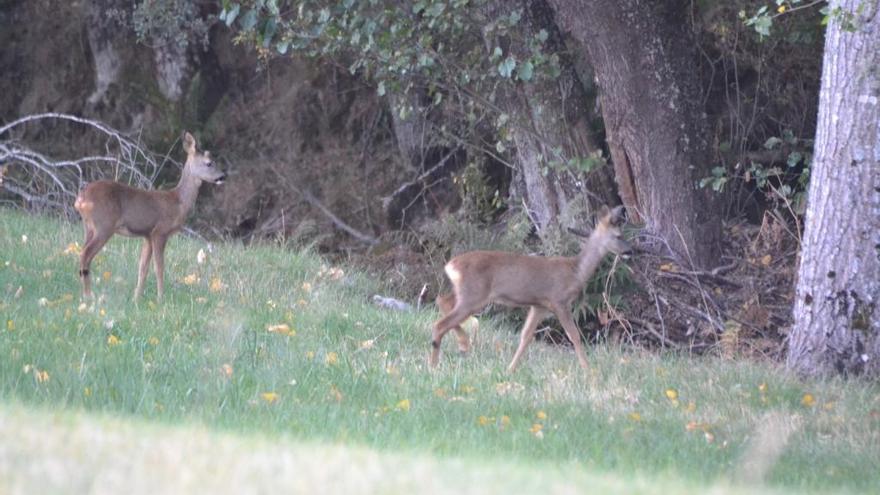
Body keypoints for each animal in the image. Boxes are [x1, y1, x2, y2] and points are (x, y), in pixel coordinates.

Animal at [75, 132, 227, 300]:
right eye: (209, 163)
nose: (223, 176)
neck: (178, 202)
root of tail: (81, 199)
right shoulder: (160, 232)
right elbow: (159, 267)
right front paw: (161, 297)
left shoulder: (147, 235)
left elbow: (143, 268)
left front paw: (136, 297)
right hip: (103, 225)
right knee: (86, 255)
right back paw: (88, 296)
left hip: (89, 227)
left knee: (82, 252)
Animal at [432, 205, 632, 372]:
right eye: (618, 236)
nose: (630, 251)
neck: (575, 271)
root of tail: (451, 265)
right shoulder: (559, 300)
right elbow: (574, 335)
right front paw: (588, 370)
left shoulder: (539, 306)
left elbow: (526, 336)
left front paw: (510, 369)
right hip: (473, 295)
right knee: (440, 324)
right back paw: (437, 363)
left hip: (465, 292)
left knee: (441, 300)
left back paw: (461, 345)